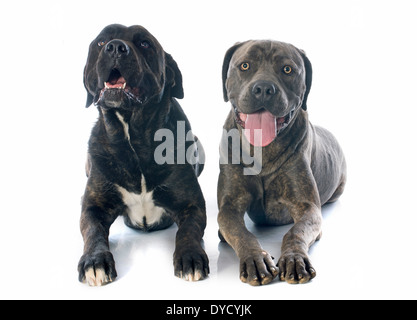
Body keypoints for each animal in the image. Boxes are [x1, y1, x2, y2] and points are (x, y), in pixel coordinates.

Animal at [78, 24, 208, 284]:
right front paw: (95, 261)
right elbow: (93, 231)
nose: (115, 47)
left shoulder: (192, 204)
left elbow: (188, 232)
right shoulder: (93, 206)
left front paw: (190, 256)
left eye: (145, 43)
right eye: (101, 42)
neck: (133, 141)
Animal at [216, 39, 346, 284]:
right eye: (245, 65)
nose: (264, 89)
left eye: (287, 69)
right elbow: (241, 233)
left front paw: (295, 259)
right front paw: (255, 259)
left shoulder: (308, 208)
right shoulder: (229, 207)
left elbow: (295, 231)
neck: (262, 151)